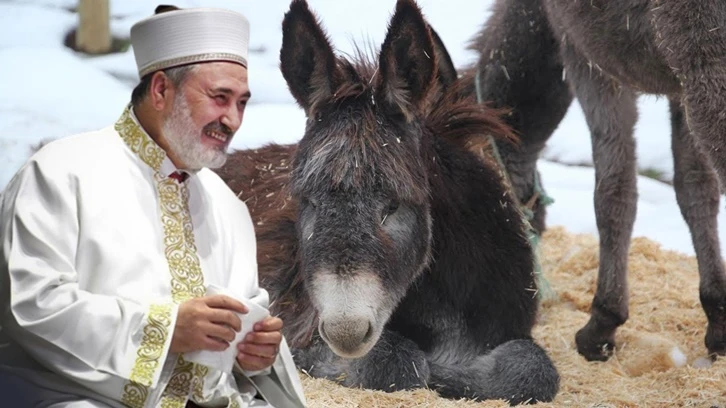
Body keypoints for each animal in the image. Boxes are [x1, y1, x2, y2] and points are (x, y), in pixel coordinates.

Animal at [214, 0, 559, 403]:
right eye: (307, 201)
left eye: (394, 205)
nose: (346, 331)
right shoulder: (300, 325)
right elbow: (395, 362)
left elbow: (533, 369)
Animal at [466, 0, 726, 362]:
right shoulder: (679, 87)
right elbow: (696, 188)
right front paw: (718, 318)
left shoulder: (584, 55)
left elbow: (614, 191)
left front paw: (602, 323)